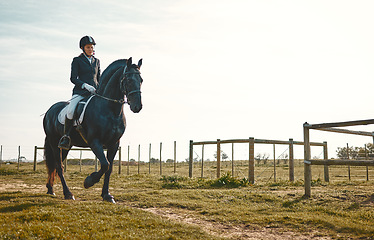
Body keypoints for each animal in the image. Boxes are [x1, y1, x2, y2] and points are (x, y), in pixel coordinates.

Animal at [43, 57, 142, 202]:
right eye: (128, 80)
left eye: (141, 80)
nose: (137, 107)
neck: (110, 110)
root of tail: (49, 111)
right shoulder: (95, 142)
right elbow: (105, 164)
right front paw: (89, 181)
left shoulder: (114, 144)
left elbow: (109, 168)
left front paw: (107, 195)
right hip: (53, 142)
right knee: (59, 167)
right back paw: (68, 194)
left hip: (66, 146)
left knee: (57, 165)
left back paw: (51, 189)